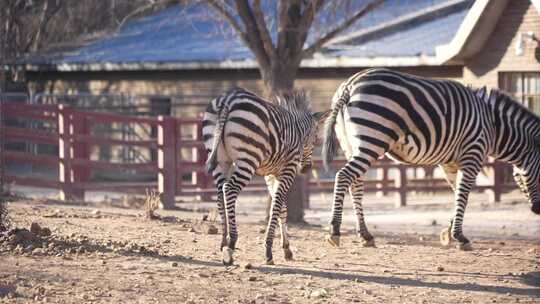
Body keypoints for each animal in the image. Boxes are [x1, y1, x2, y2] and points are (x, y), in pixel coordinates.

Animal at [202, 87, 330, 264]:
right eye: (316, 139)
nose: (307, 169)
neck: (298, 131)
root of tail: (228, 98)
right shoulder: (288, 169)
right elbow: (276, 205)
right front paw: (269, 250)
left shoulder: (271, 174)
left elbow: (282, 207)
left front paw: (287, 249)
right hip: (247, 159)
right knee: (229, 189)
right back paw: (232, 242)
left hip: (220, 159)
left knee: (221, 193)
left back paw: (223, 243)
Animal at [322, 68, 540, 249]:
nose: (538, 210)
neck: (493, 126)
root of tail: (349, 84)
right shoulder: (473, 154)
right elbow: (463, 195)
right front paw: (460, 237)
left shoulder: (450, 163)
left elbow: (457, 193)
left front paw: (449, 233)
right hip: (373, 140)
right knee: (343, 176)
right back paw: (334, 231)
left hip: (352, 144)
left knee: (356, 184)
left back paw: (365, 235)